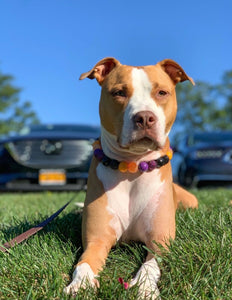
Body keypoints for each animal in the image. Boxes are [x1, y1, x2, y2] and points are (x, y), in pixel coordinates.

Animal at [64, 57, 198, 298]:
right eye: (119, 92)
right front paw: (80, 284)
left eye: (162, 92)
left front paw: (145, 287)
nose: (144, 117)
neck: (133, 167)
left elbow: (150, 265)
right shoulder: (97, 239)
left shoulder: (160, 241)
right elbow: (84, 263)